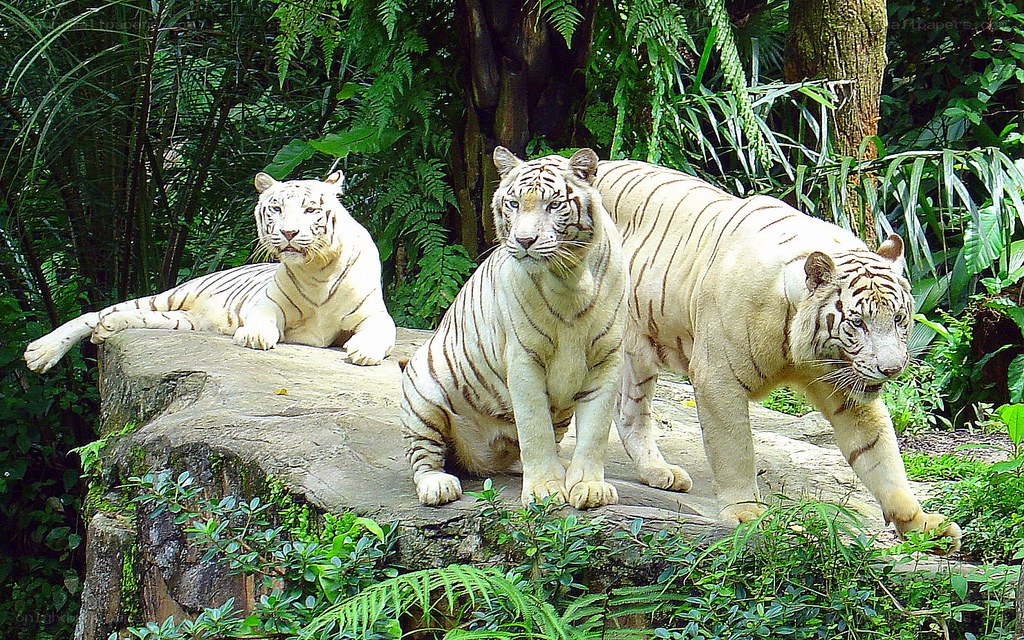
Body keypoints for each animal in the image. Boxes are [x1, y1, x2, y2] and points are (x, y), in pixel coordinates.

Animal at [24, 170, 397, 373]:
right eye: (276, 208)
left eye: (310, 209)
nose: (289, 233)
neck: (316, 270)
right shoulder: (268, 303)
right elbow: (262, 319)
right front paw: (255, 336)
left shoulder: (375, 314)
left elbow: (382, 332)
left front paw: (364, 352)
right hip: (168, 297)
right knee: (94, 313)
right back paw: (40, 353)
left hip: (183, 319)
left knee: (124, 318)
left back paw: (108, 329)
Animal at [400, 147, 627, 509]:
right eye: (514, 204)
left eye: (554, 205)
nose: (524, 240)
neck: (569, 278)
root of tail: (481, 460)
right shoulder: (524, 360)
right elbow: (534, 428)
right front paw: (545, 489)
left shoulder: (607, 359)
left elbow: (595, 431)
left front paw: (589, 486)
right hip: (423, 391)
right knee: (425, 456)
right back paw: (438, 485)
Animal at [593, 159, 961, 552]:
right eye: (858, 322)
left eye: (899, 319)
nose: (891, 369)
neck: (802, 349)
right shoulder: (717, 379)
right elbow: (735, 449)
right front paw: (745, 513)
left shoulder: (847, 390)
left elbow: (881, 456)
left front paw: (923, 525)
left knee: (628, 409)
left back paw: (659, 472)